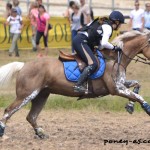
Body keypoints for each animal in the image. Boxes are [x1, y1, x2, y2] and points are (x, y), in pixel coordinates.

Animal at [0, 29, 149, 138]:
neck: (115, 59)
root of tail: (24, 65)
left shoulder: (121, 85)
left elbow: (137, 85)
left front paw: (130, 106)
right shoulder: (116, 89)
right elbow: (138, 97)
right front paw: (147, 108)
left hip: (41, 95)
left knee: (31, 116)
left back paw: (41, 133)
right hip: (27, 94)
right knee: (8, 111)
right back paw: (3, 132)